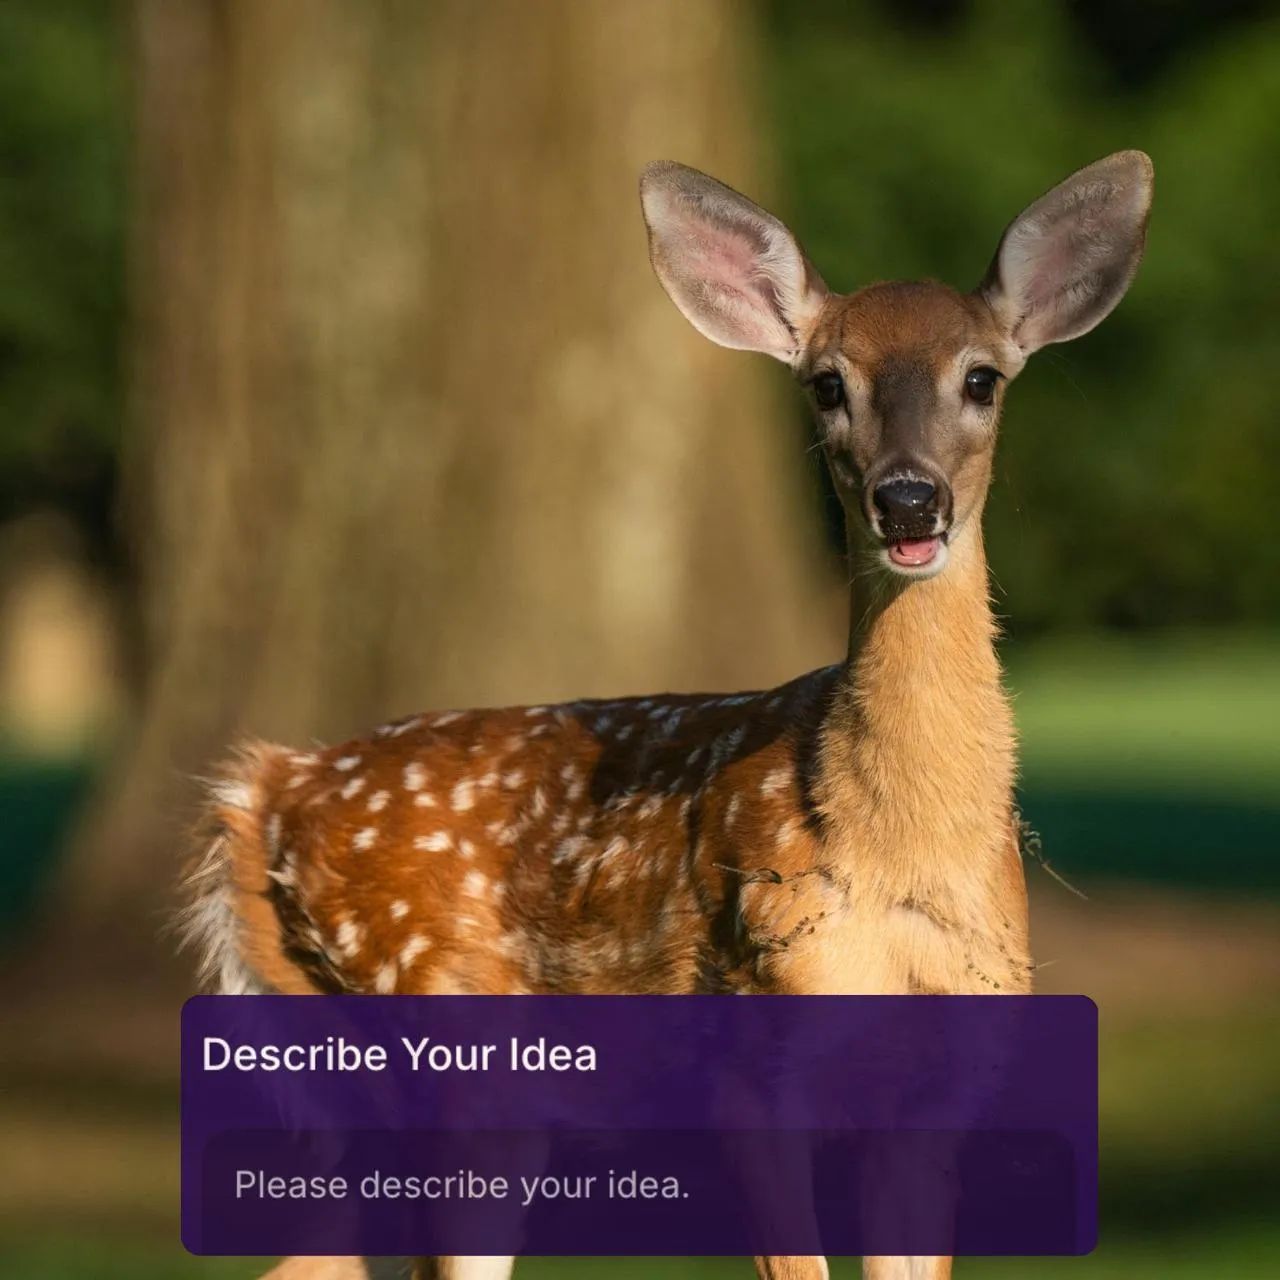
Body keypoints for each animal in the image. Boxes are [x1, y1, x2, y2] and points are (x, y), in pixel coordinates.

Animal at [182, 150, 1153, 1280]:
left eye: (982, 378)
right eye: (827, 383)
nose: (908, 501)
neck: (894, 849)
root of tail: (262, 790)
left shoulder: (944, 1080)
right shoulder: (752, 1044)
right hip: (436, 1035)